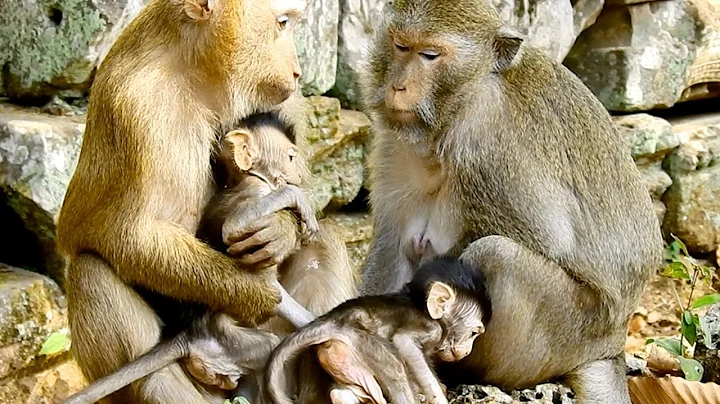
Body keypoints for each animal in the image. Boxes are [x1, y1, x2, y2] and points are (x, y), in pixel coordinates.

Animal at [54, 0, 316, 400]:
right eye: (283, 23)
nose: (297, 70)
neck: (200, 73)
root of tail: (194, 336)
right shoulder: (135, 108)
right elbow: (129, 236)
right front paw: (255, 293)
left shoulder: (280, 98)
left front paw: (281, 231)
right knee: (90, 271)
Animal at [263, 255, 492, 404]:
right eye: (473, 333)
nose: (467, 350)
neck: (420, 305)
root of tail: (332, 320)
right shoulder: (430, 327)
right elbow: (405, 344)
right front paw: (438, 397)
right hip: (362, 340)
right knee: (393, 367)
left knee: (346, 391)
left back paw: (345, 397)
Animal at [355, 0, 664, 402]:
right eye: (400, 46)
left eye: (430, 55)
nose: (398, 85)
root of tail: (612, 344)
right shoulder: (397, 142)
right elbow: (393, 247)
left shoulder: (488, 147)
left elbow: (550, 242)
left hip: (566, 334)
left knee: (497, 255)